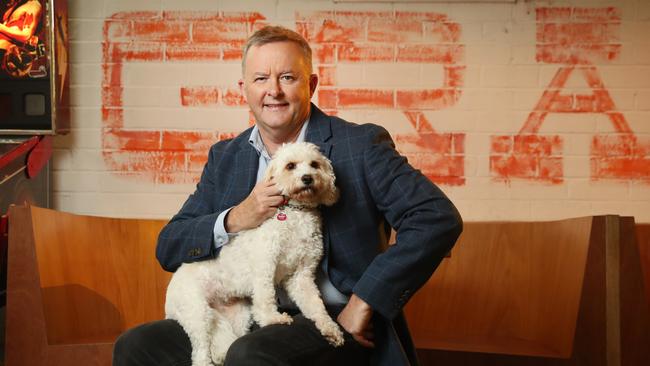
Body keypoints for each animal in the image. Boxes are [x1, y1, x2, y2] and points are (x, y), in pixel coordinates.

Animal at [165, 142, 342, 366]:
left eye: (315, 164)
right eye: (290, 166)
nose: (308, 178)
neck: (296, 213)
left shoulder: (302, 275)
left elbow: (315, 304)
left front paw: (330, 328)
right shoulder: (265, 264)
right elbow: (265, 296)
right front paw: (272, 319)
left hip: (237, 316)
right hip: (196, 313)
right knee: (200, 353)